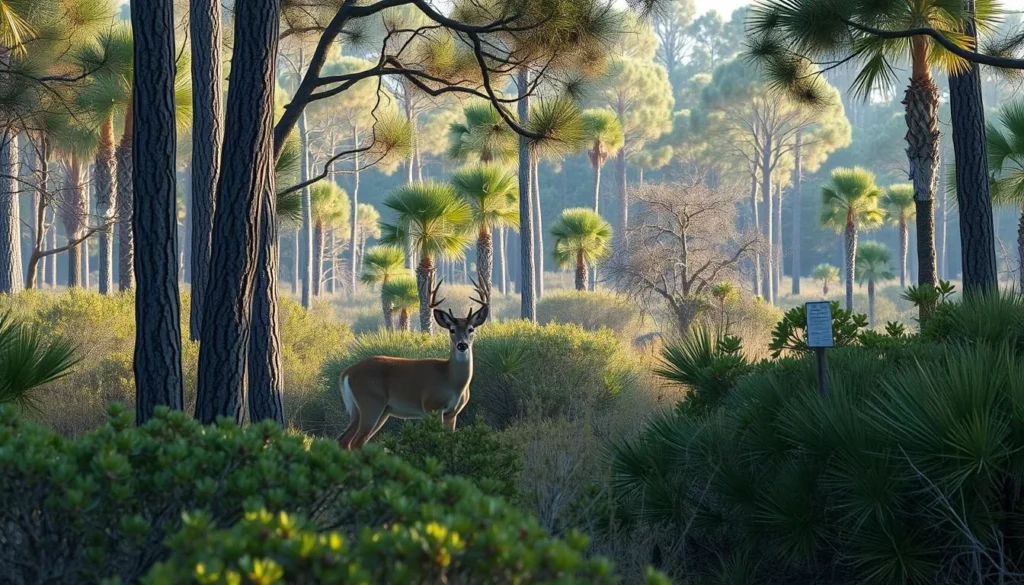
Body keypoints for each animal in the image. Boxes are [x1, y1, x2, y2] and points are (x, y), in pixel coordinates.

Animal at [337, 277, 490, 449]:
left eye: (471, 329)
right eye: (451, 329)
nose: (462, 345)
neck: (450, 379)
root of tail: (347, 372)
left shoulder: (452, 413)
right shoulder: (431, 406)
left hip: (370, 410)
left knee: (345, 439)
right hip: (370, 402)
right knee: (357, 441)